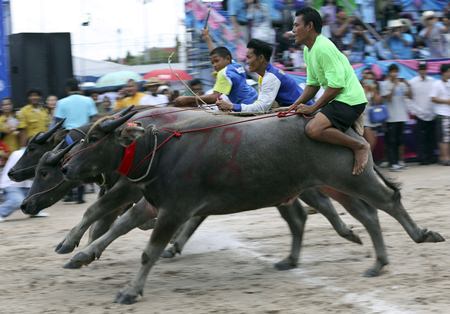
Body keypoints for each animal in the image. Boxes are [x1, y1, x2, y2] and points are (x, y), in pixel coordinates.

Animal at [61, 107, 444, 304]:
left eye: (93, 138)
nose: (64, 167)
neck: (157, 151)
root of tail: (346, 126)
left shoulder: (173, 210)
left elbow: (146, 251)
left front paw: (130, 290)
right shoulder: (153, 204)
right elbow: (117, 225)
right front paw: (81, 254)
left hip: (351, 180)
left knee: (389, 202)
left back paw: (418, 237)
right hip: (333, 185)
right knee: (363, 214)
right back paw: (365, 260)